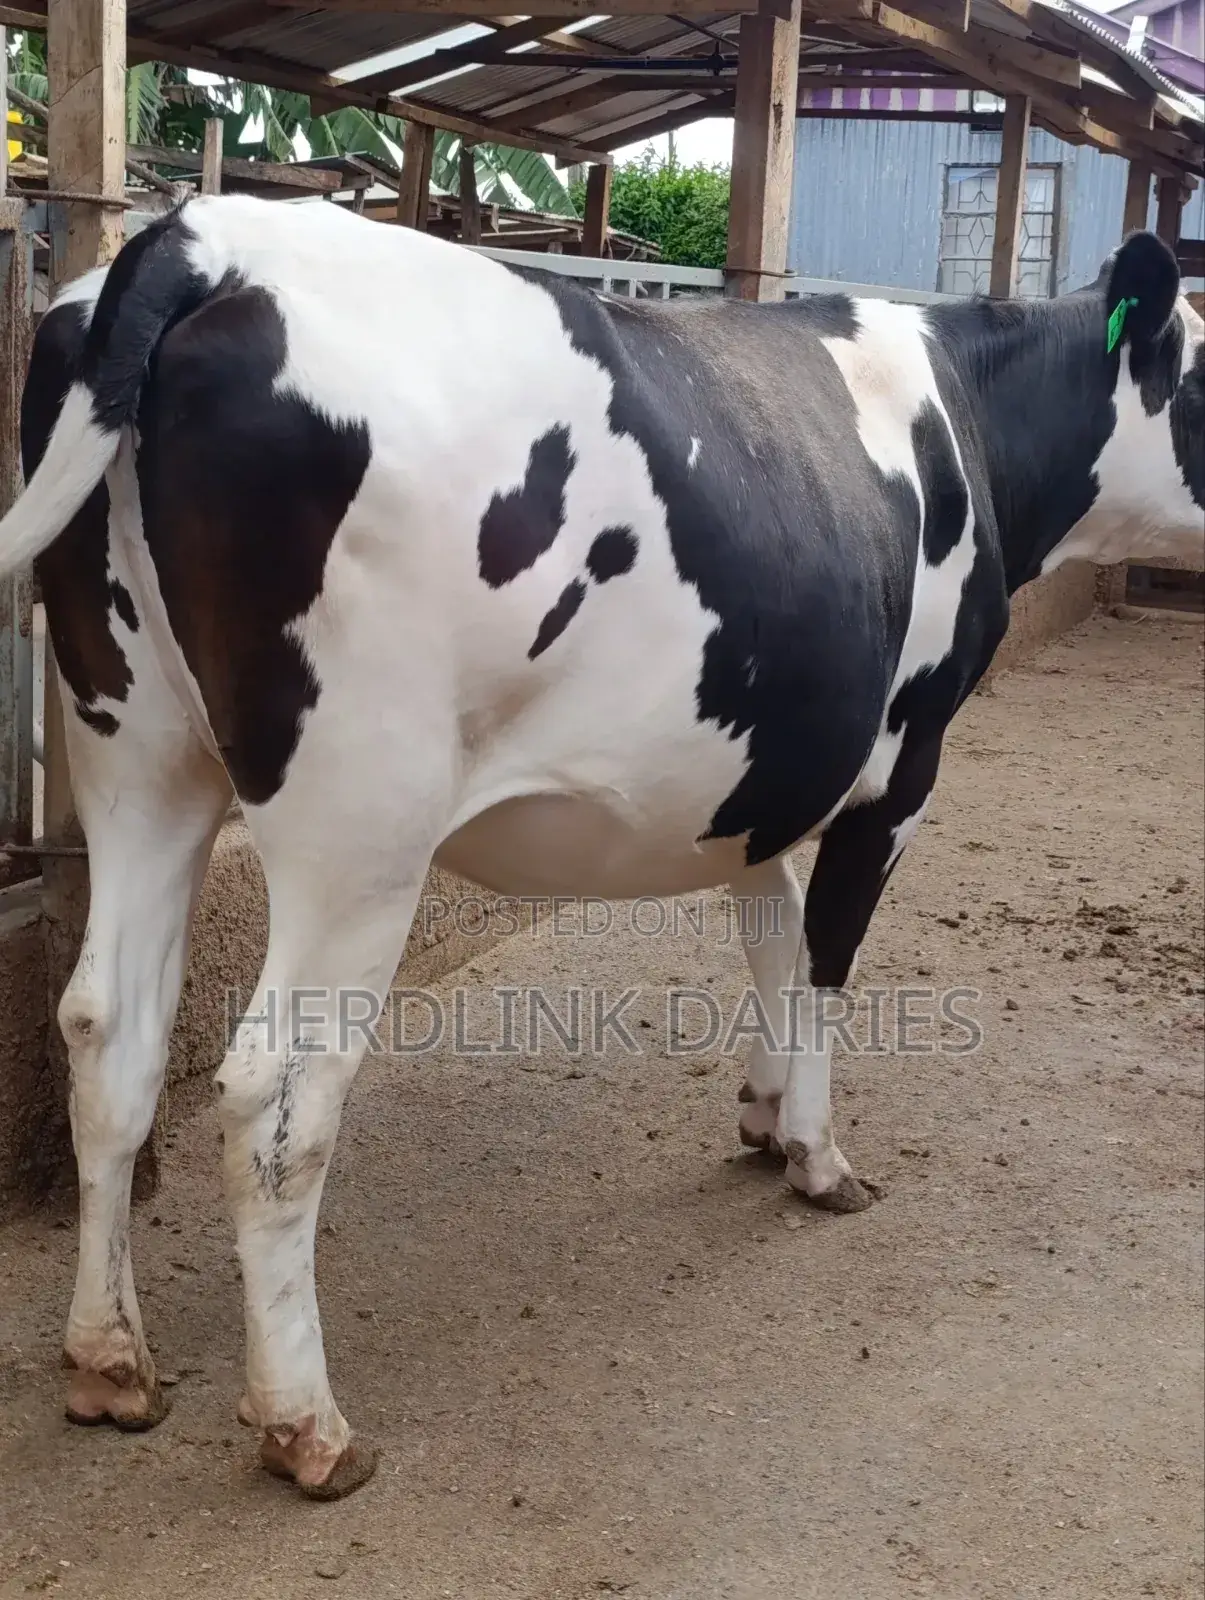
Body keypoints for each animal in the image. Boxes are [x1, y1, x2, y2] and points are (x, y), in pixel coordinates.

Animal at [1, 193, 1201, 1499]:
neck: (968, 412)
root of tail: (206, 234)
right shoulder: (899, 766)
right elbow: (826, 968)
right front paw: (817, 1156)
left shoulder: (768, 770)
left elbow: (772, 935)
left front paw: (759, 1114)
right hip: (358, 816)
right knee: (276, 1089)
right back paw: (305, 1424)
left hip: (135, 755)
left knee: (107, 1031)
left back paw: (109, 1361)